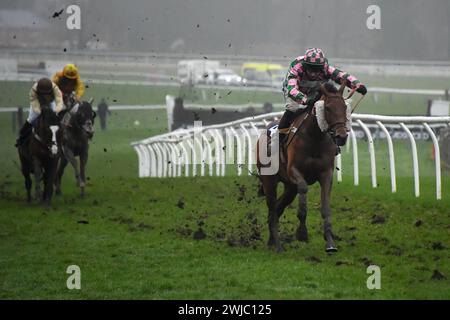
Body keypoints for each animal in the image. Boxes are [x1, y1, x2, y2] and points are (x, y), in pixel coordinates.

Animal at [256, 81, 352, 254]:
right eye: (327, 108)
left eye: (344, 107)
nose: (341, 136)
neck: (315, 137)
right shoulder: (294, 171)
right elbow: (303, 193)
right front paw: (302, 233)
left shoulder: (326, 174)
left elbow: (326, 208)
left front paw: (330, 242)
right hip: (269, 181)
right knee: (273, 210)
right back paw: (278, 246)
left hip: (289, 188)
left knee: (278, 209)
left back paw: (272, 241)